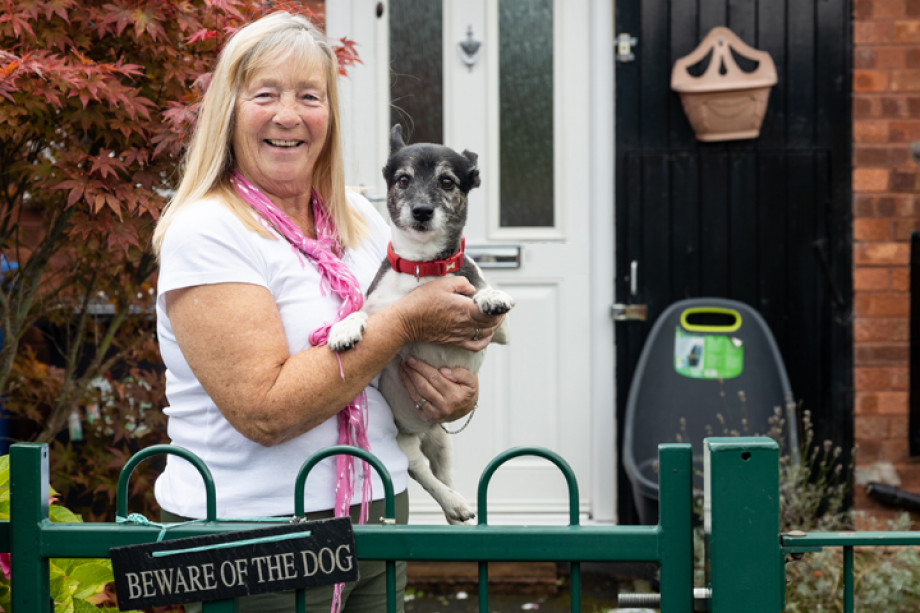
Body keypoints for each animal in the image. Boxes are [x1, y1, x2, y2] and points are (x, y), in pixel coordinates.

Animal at [328, 125, 512, 524]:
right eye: (403, 179)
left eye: (447, 181)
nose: (422, 211)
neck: (422, 269)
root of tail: (420, 432)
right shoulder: (382, 311)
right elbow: (361, 312)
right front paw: (344, 328)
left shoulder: (499, 333)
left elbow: (479, 294)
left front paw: (489, 297)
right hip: (406, 447)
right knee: (419, 471)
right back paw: (452, 501)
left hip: (443, 442)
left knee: (442, 473)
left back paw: (457, 506)